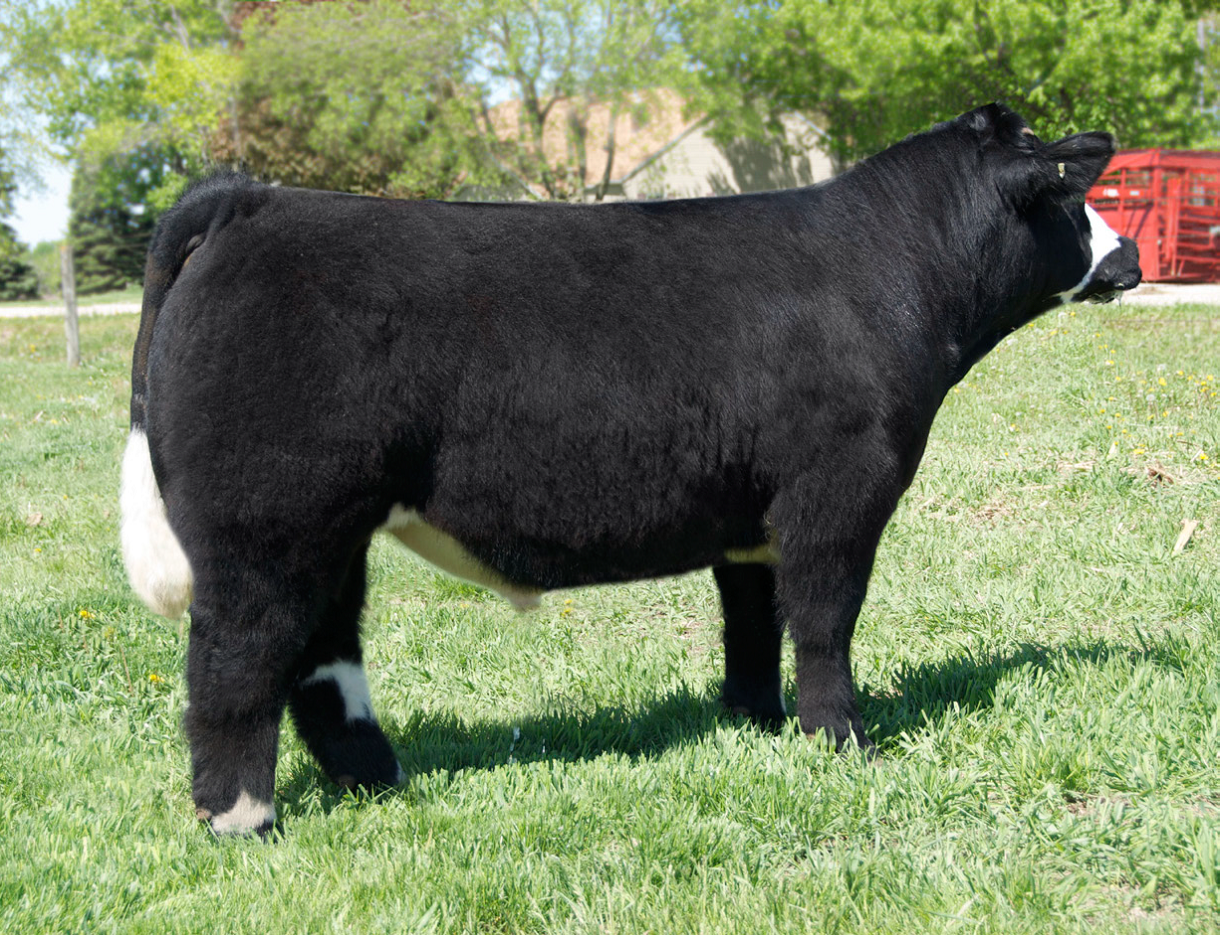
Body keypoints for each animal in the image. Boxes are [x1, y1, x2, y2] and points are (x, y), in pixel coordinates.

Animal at [120, 103, 1141, 835]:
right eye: (1065, 193)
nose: (1128, 254)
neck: (889, 275)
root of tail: (254, 200)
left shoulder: (751, 517)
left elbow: (751, 622)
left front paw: (755, 722)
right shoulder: (837, 491)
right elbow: (825, 619)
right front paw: (841, 740)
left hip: (334, 531)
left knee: (322, 660)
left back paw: (383, 782)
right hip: (267, 524)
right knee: (236, 659)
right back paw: (242, 818)